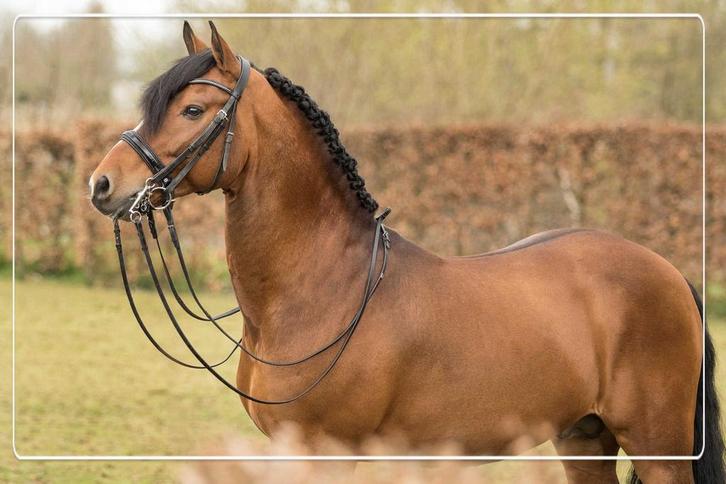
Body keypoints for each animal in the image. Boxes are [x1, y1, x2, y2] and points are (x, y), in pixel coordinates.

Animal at [88, 21, 724, 483]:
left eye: (193, 110)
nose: (101, 185)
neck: (326, 287)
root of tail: (670, 273)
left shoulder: (329, 455)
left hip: (659, 449)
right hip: (584, 439)